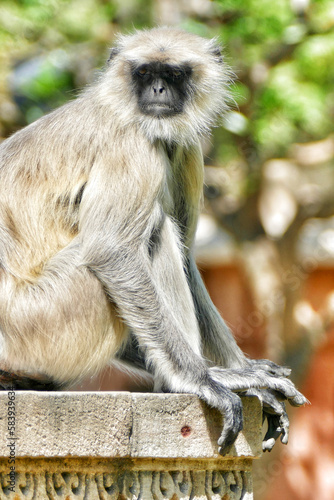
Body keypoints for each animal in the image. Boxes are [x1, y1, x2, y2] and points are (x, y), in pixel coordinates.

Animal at [0, 29, 306, 456]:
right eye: (144, 72)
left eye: (173, 74)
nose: (158, 89)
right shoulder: (131, 144)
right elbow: (112, 250)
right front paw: (204, 379)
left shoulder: (183, 146)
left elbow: (189, 261)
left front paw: (241, 371)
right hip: (39, 320)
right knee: (154, 232)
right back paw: (183, 383)